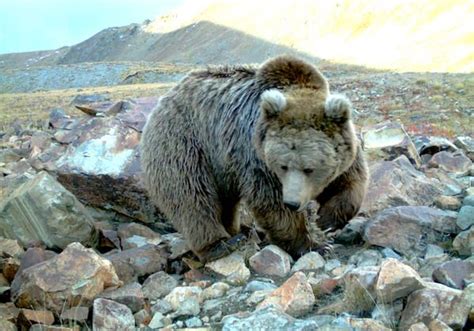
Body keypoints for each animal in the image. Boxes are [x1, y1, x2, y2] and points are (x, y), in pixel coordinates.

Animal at [139, 55, 368, 264]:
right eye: (283, 166)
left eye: (309, 168)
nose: (292, 203)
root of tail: (165, 98)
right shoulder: (255, 155)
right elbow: (270, 202)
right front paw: (314, 245)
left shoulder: (344, 149)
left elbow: (350, 182)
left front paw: (326, 219)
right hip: (186, 145)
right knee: (191, 195)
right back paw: (221, 244)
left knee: (224, 201)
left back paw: (237, 230)